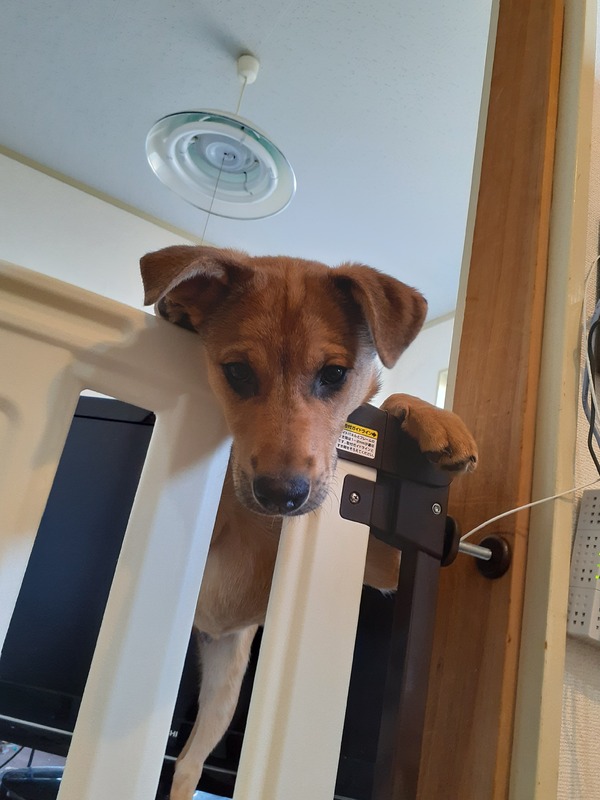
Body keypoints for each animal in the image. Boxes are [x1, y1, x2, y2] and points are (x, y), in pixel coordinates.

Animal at [140, 245, 477, 800]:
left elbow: (388, 401)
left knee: (186, 766)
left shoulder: (382, 564)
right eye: (237, 371)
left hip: (224, 691)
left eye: (334, 375)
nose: (281, 495)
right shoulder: (221, 522)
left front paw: (436, 418)